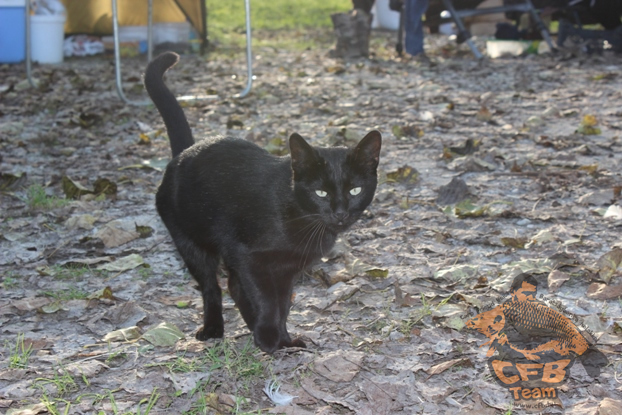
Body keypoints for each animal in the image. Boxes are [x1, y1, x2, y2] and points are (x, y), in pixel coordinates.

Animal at [144, 50, 382, 352]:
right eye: (321, 193)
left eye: (354, 190)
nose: (340, 213)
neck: (296, 213)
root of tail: (185, 152)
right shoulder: (250, 257)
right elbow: (267, 299)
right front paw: (269, 338)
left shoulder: (287, 268)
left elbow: (283, 304)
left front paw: (285, 340)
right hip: (190, 242)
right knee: (212, 286)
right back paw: (214, 328)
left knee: (233, 284)